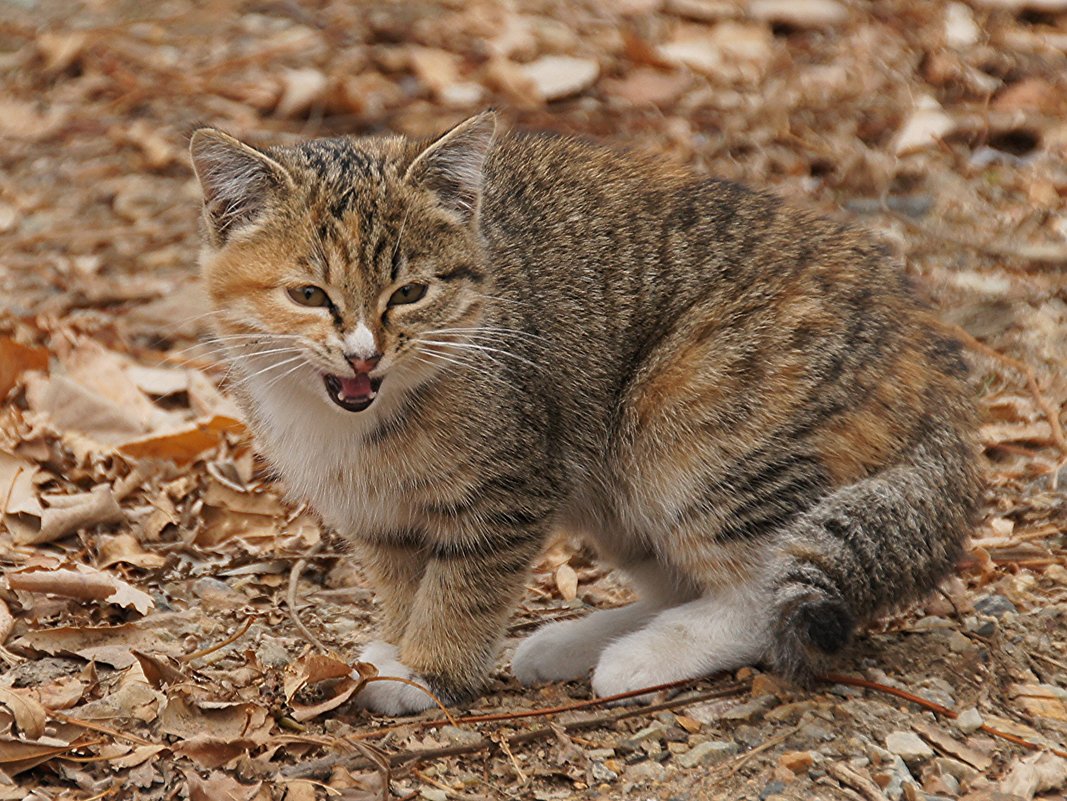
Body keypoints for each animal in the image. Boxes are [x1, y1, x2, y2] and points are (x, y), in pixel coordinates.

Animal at [187, 111, 977, 712]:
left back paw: (643, 655)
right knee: (686, 574)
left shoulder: (510, 484)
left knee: (760, 584)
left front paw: (431, 669)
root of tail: (925, 352)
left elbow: (463, 587)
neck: (352, 427)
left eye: (409, 293)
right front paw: (403, 644)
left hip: (685, 425)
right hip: (614, 482)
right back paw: (573, 642)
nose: (362, 354)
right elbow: (407, 580)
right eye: (309, 295)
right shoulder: (379, 513)